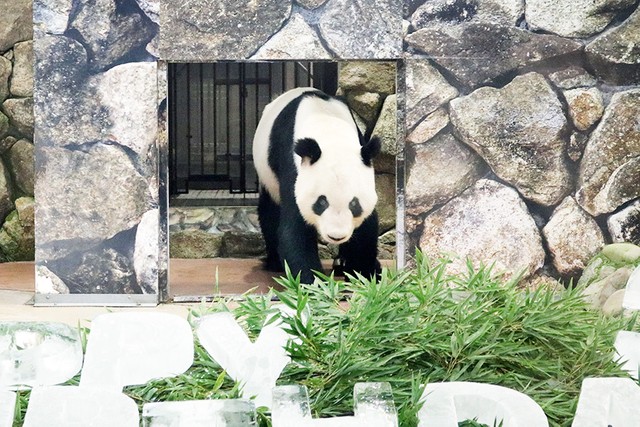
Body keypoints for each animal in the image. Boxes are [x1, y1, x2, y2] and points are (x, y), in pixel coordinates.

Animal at [252, 87, 382, 284]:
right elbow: (295, 231)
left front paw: (364, 275)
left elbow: (366, 228)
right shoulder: (293, 167)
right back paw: (275, 263)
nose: (336, 236)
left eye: (354, 204)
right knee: (270, 212)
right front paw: (315, 283)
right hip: (268, 176)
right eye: (321, 202)